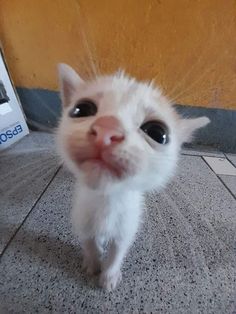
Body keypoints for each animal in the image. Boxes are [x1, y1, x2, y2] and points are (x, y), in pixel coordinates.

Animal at [55, 62, 210, 290]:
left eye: (158, 133)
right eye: (81, 109)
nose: (106, 128)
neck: (106, 202)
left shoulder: (127, 226)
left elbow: (117, 253)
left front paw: (109, 276)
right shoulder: (82, 219)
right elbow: (89, 243)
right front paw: (93, 263)